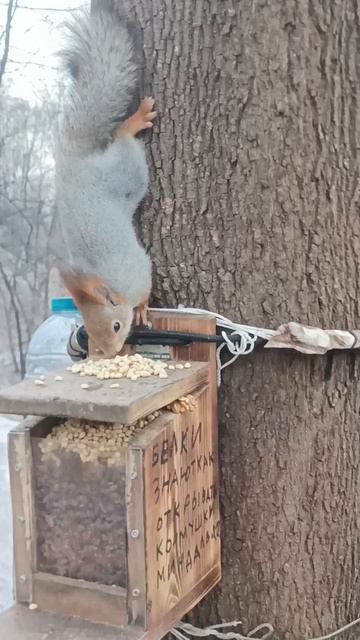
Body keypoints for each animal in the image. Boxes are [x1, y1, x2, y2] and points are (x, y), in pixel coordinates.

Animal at [56, 6, 156, 356]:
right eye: (89, 333)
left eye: (115, 326)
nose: (111, 352)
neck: (113, 284)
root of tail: (72, 164)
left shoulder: (137, 270)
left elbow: (145, 286)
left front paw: (141, 308)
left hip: (126, 172)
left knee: (123, 138)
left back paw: (133, 122)